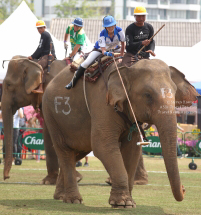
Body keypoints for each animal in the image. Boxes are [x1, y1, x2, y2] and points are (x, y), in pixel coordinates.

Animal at [40, 58, 198, 207]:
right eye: (147, 95)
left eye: (175, 93)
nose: (184, 189)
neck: (127, 69)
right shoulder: (103, 102)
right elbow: (103, 145)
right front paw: (123, 203)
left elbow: (133, 149)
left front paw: (129, 202)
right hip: (51, 115)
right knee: (65, 151)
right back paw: (73, 200)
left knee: (77, 152)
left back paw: (60, 196)